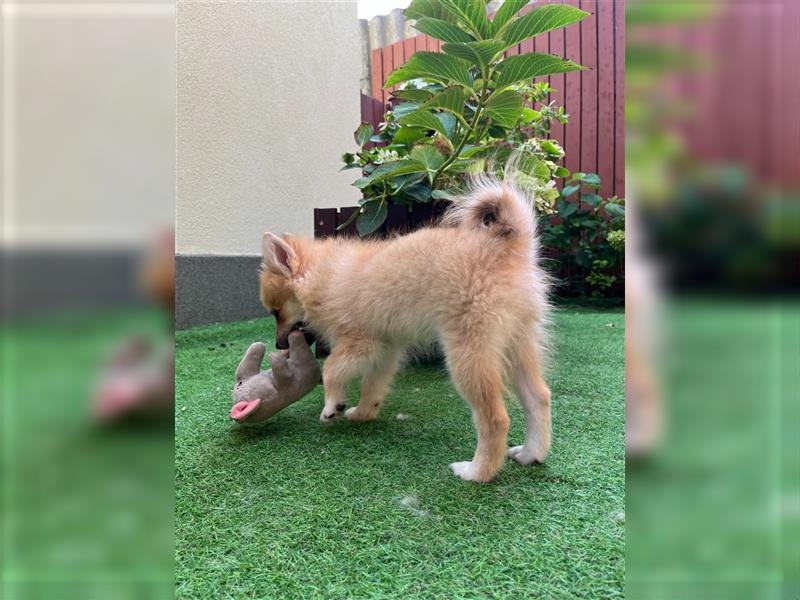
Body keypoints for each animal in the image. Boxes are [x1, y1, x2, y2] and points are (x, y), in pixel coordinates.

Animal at [260, 179, 552, 482]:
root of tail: (507, 245)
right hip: (519, 344)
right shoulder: (385, 349)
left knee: (495, 418)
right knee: (539, 398)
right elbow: (371, 386)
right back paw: (531, 454)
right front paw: (362, 413)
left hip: (467, 353)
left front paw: (332, 406)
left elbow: (329, 369)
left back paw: (477, 472)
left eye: (276, 312)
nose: (279, 344)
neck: (323, 276)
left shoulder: (360, 343)